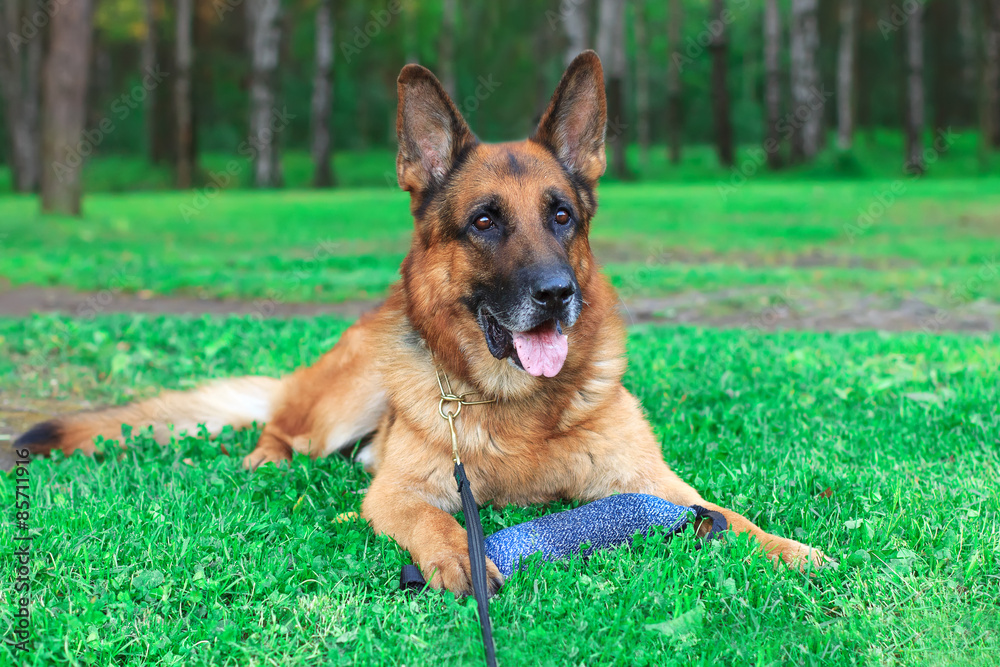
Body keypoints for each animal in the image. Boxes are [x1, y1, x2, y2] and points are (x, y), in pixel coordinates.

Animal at [19, 52, 828, 596]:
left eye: (562, 216)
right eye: (484, 222)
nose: (556, 294)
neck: (518, 412)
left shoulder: (656, 484)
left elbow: (727, 514)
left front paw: (790, 549)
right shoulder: (399, 495)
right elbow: (437, 520)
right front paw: (457, 558)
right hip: (346, 402)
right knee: (283, 428)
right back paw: (267, 459)